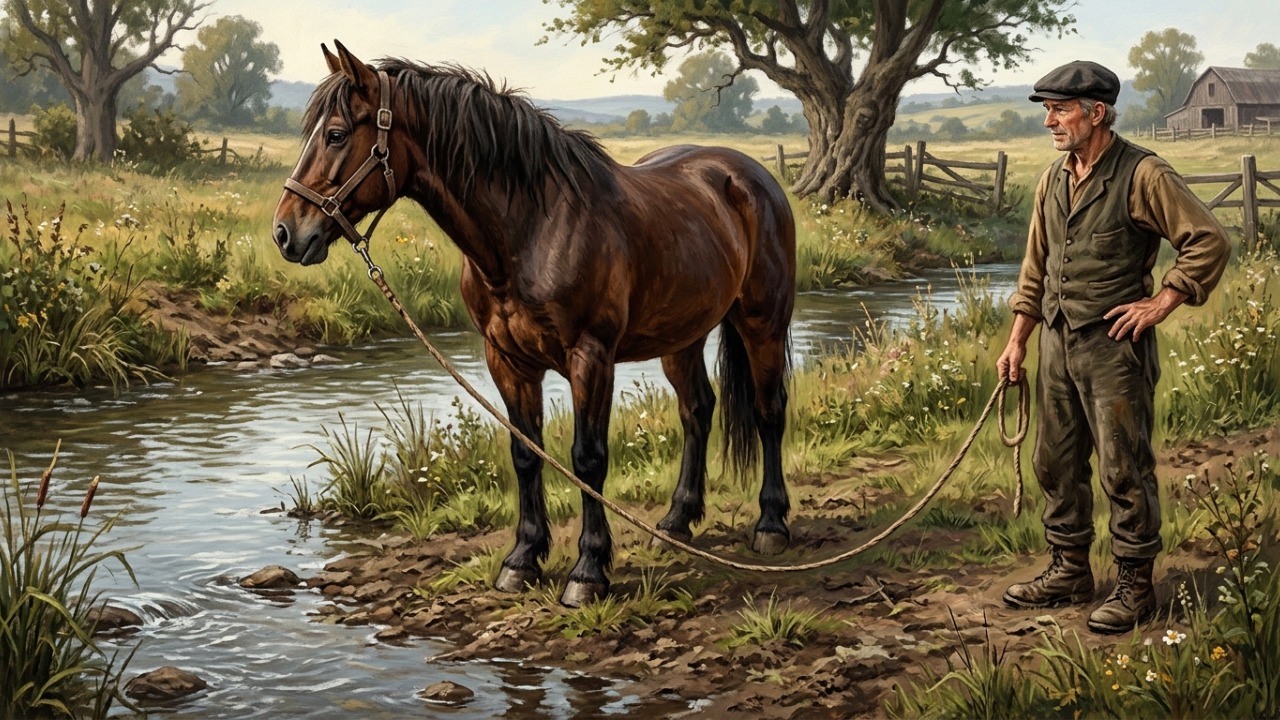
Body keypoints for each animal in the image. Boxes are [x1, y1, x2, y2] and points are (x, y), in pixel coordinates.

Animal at [272, 41, 796, 607]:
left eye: (336, 134)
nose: (285, 233)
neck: (532, 230)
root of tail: (746, 174)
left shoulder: (591, 357)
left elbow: (588, 459)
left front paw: (588, 572)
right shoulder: (507, 359)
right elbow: (525, 454)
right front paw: (521, 560)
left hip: (762, 322)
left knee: (768, 411)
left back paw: (771, 525)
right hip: (682, 335)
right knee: (696, 410)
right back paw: (676, 522)